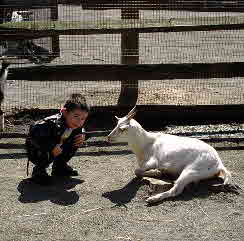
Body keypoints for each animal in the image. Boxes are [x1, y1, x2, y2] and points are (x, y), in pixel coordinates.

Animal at [107, 107, 237, 203]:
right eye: (116, 124)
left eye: (122, 129)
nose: (108, 137)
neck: (146, 143)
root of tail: (219, 164)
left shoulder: (152, 161)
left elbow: (137, 171)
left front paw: (157, 172)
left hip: (191, 171)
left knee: (176, 190)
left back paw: (153, 198)